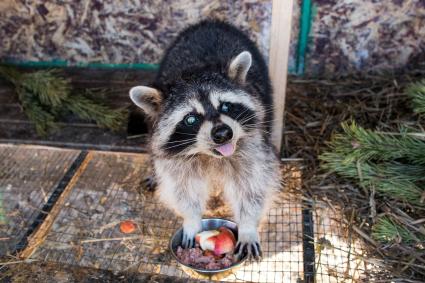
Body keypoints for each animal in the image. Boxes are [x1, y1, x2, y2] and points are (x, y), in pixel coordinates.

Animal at [129, 20, 282, 260]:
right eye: (191, 119)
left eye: (226, 106)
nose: (223, 134)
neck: (209, 155)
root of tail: (209, 21)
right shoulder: (177, 159)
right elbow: (183, 189)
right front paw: (191, 220)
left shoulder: (253, 144)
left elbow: (252, 186)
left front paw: (248, 225)